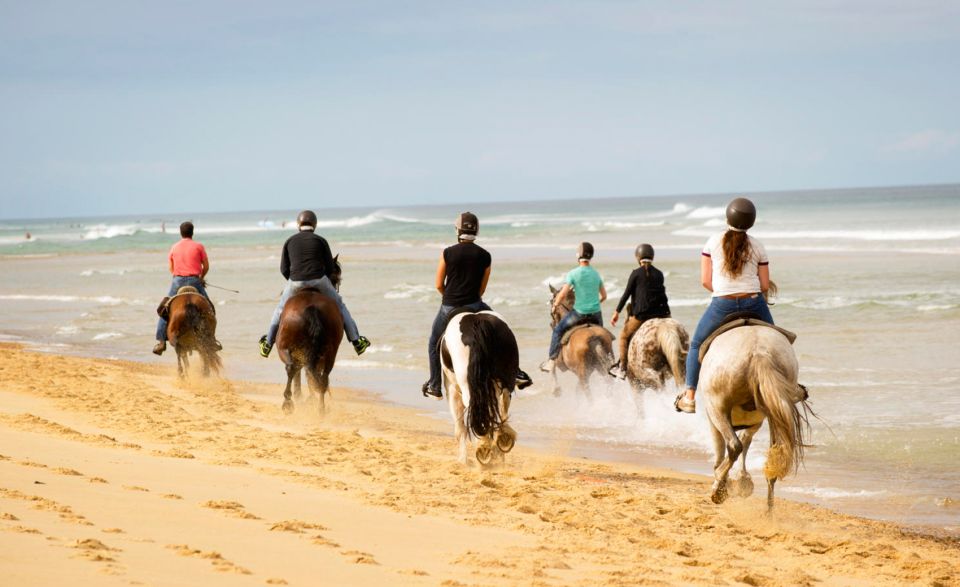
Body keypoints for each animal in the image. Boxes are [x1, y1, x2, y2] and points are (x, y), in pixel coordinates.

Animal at [274, 260, 342, 416]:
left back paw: (289, 402)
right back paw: (320, 408)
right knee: (321, 378)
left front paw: (300, 396)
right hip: (329, 353)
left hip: (284, 347)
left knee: (293, 368)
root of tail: (311, 307)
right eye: (336, 279)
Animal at [440, 310, 520, 466]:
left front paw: (463, 460)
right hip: (504, 381)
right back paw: (500, 442)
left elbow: (460, 428)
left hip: (468, 386)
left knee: (479, 409)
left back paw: (485, 447)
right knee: (501, 406)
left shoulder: (452, 390)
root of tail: (477, 323)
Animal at [696, 326, 808, 510]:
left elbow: (723, 447)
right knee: (773, 459)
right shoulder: (756, 422)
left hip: (717, 407)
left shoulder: (713, 417)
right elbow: (745, 440)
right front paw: (742, 480)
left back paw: (718, 486)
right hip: (774, 410)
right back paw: (768, 510)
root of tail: (760, 353)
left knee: (734, 446)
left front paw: (726, 482)